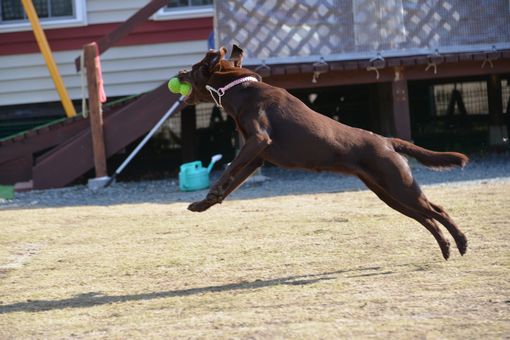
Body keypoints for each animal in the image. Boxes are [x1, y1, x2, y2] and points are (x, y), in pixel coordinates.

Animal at [177, 45, 468, 260]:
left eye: (194, 68)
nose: (178, 72)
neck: (239, 89)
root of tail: (386, 140)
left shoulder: (258, 140)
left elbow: (228, 168)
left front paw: (212, 191)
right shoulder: (257, 156)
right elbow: (233, 180)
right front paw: (205, 202)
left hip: (400, 185)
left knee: (438, 210)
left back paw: (461, 241)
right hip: (388, 193)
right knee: (427, 218)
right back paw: (446, 248)